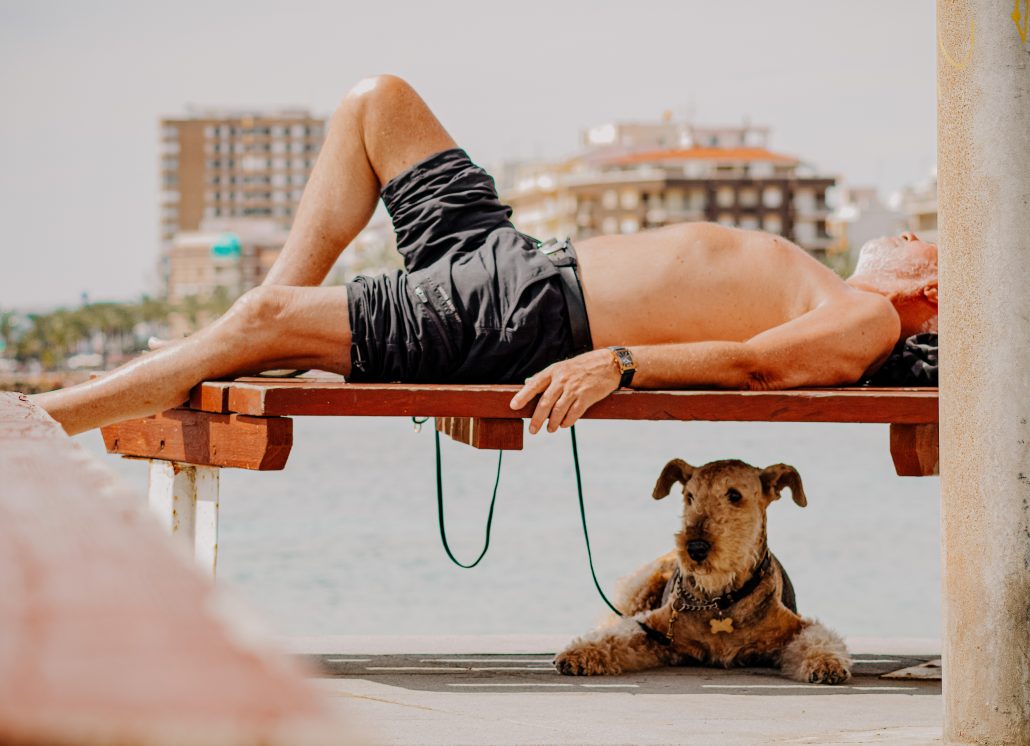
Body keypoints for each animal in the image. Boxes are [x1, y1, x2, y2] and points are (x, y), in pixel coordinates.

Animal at [556, 457, 852, 684]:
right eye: (690, 496)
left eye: (734, 495)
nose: (695, 548)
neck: (719, 601)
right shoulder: (652, 630)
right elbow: (615, 637)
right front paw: (578, 654)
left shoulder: (798, 626)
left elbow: (817, 639)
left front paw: (827, 664)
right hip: (638, 592)